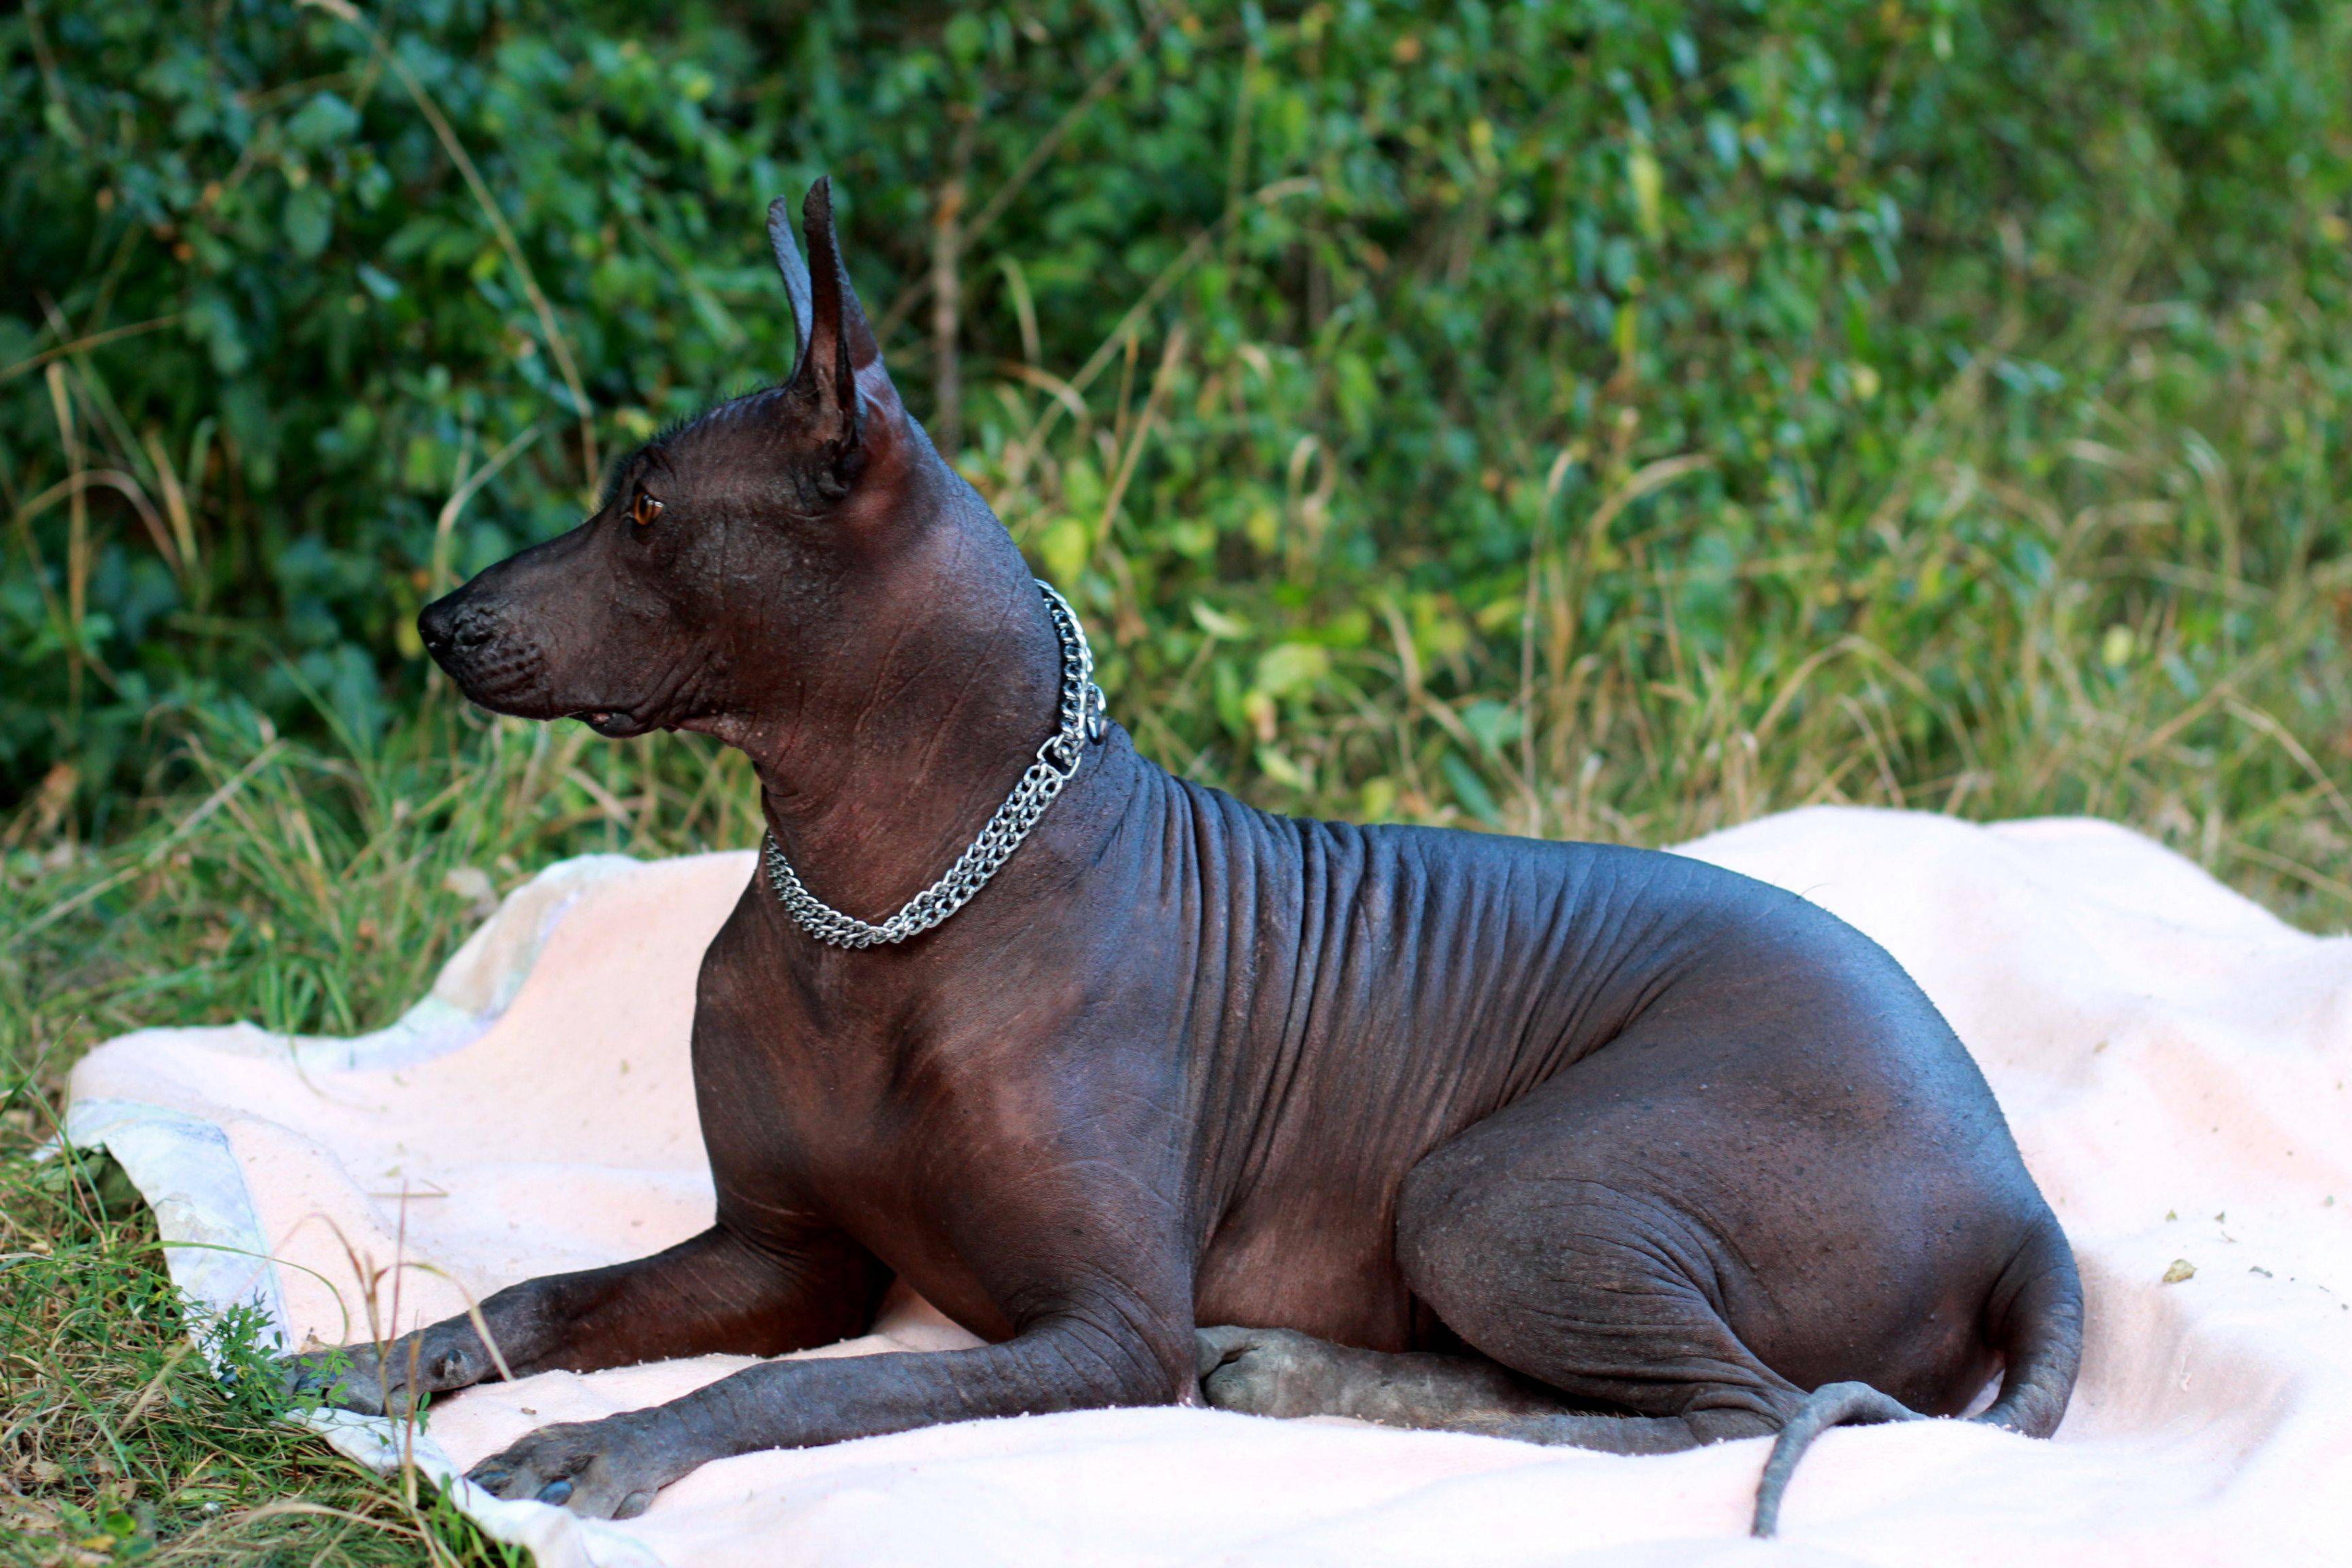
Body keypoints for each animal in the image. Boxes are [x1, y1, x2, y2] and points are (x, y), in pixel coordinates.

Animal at [289, 180, 2079, 1533]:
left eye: (647, 510)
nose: (439, 618)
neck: (877, 902)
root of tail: (2015, 1192)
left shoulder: (1100, 1328)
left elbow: (798, 1386)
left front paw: (614, 1442)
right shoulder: (780, 1254)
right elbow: (545, 1302)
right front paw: (369, 1361)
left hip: (1499, 1187)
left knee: (1735, 1412)